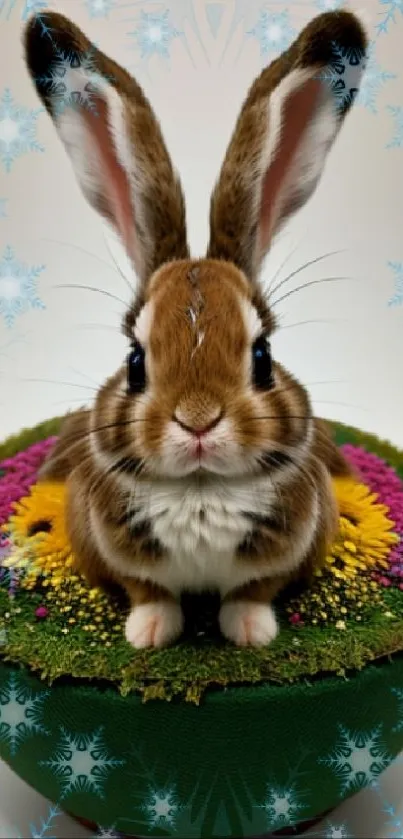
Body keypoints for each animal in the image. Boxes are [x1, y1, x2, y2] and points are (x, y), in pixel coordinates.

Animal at [23, 8, 368, 648]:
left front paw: (251, 630)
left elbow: (254, 588)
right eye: (135, 361)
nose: (199, 420)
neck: (201, 490)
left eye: (262, 356)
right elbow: (147, 589)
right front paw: (150, 631)